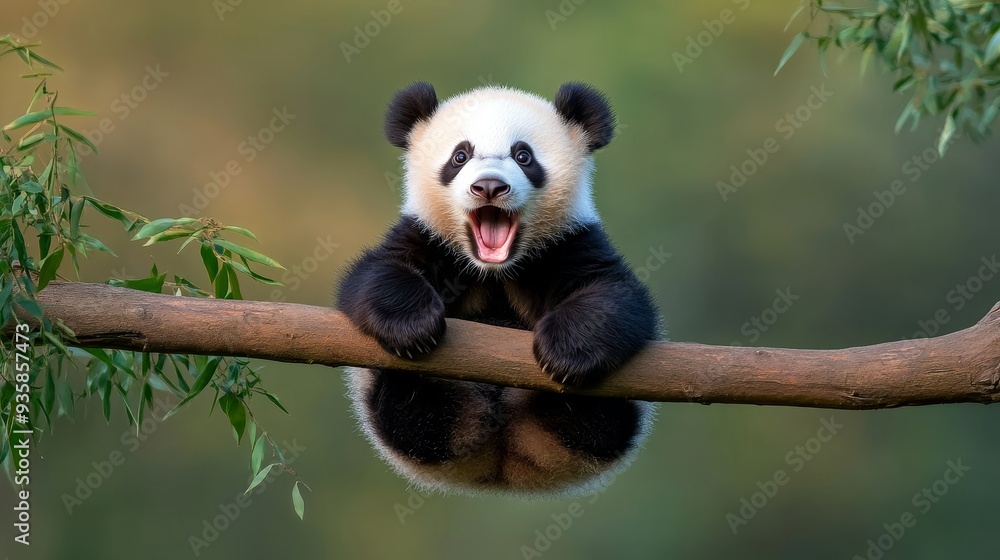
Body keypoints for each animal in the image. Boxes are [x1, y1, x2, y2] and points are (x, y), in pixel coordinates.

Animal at [337, 81, 660, 497]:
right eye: (460, 156)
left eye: (523, 156)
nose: (489, 186)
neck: (495, 271)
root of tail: (503, 461)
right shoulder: (427, 237)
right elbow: (376, 275)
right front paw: (414, 328)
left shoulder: (570, 243)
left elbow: (615, 295)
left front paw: (566, 353)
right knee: (411, 413)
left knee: (597, 423)